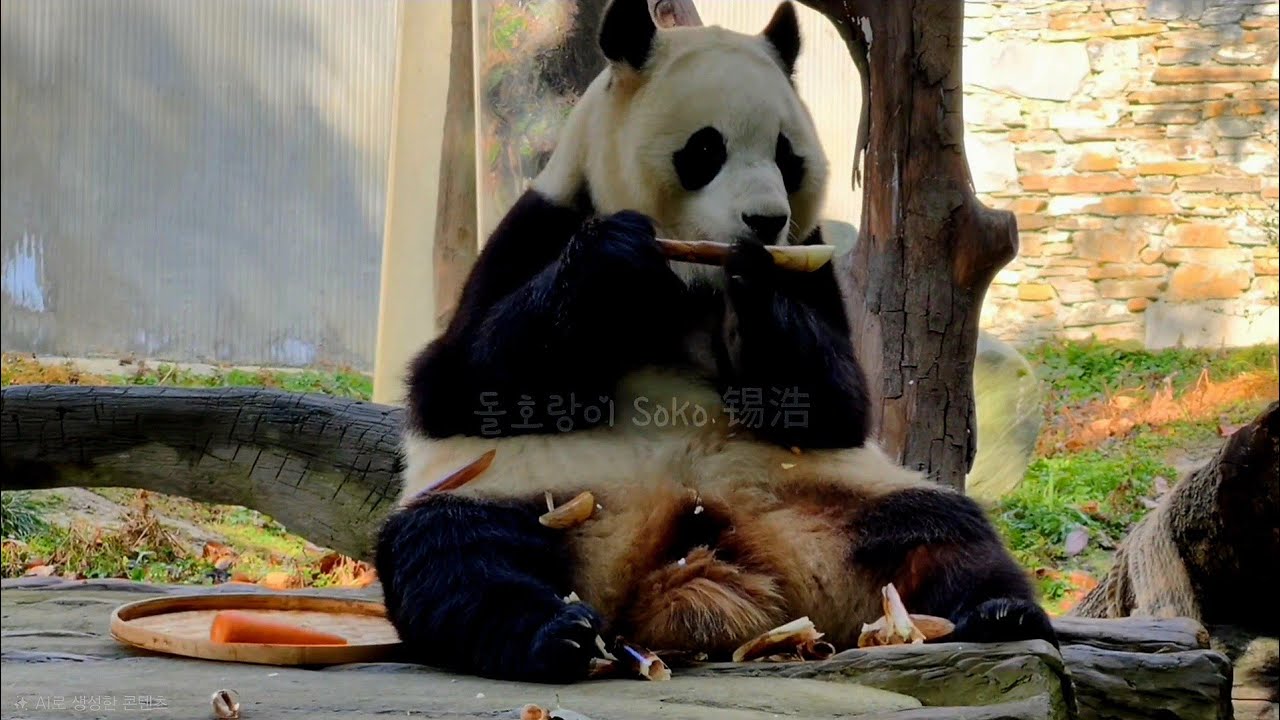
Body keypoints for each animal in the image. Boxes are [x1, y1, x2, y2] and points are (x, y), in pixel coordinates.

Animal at [375, 0, 1057, 684]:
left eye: (787, 156)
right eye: (706, 149)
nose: (766, 221)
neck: (690, 280)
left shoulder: (811, 264)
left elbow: (840, 403)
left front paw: (753, 283)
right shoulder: (540, 226)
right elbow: (456, 383)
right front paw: (613, 258)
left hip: (836, 499)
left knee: (941, 531)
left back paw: (999, 612)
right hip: (539, 494)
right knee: (456, 554)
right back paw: (556, 634)